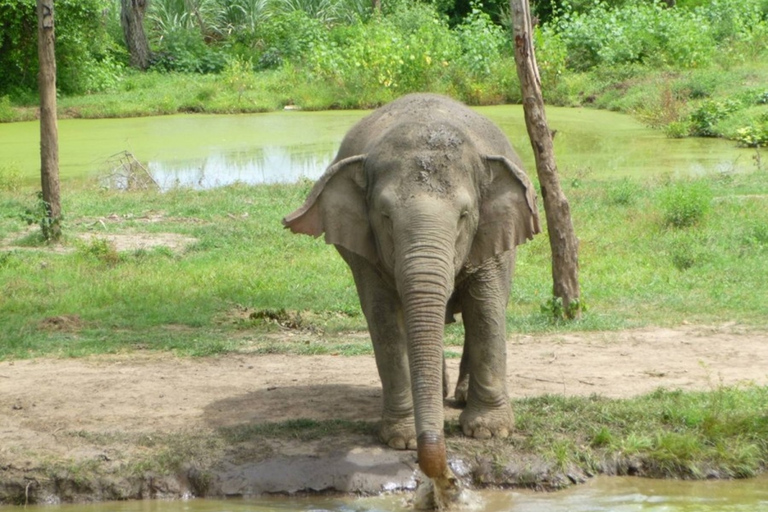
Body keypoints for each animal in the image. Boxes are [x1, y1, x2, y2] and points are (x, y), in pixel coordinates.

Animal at [282, 93, 540, 496]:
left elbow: (486, 309)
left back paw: (458, 397)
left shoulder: (491, 235)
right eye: (385, 217)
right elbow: (384, 319)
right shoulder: (364, 253)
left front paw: (487, 432)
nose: (446, 478)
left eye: (464, 216)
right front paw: (400, 440)